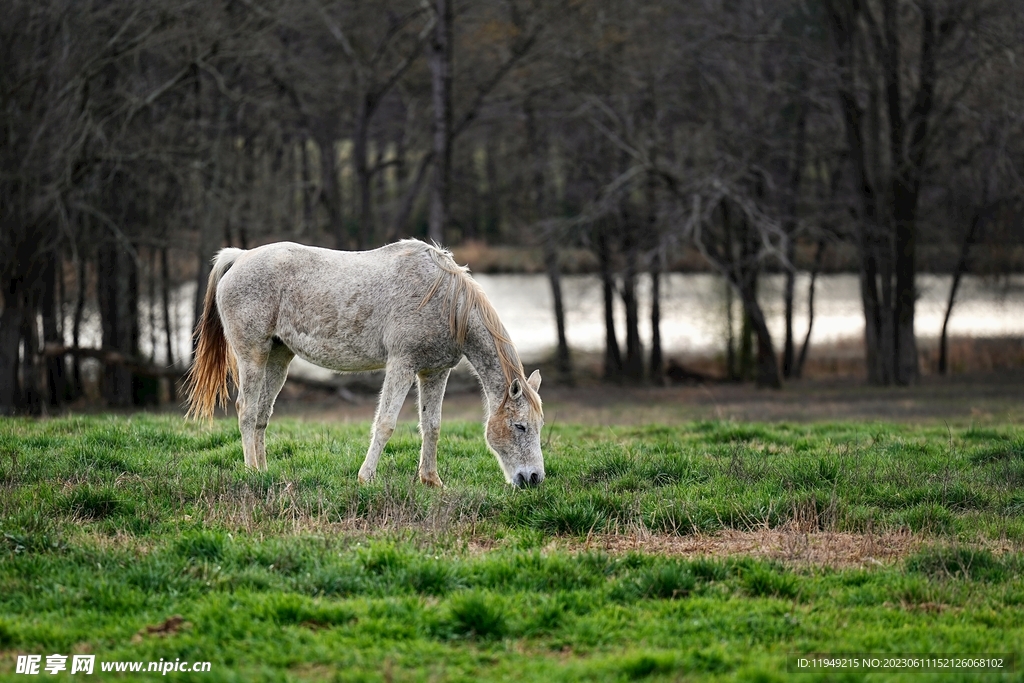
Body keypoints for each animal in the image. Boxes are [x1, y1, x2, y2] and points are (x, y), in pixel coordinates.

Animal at [187, 239, 548, 485]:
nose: (533, 478)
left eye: (539, 426)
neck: (445, 299)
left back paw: (264, 472)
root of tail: (240, 256)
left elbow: (432, 425)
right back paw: (251, 472)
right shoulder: (402, 366)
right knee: (246, 411)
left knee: (262, 414)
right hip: (252, 354)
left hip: (278, 357)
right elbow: (385, 424)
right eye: (520, 426)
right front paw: (366, 478)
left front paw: (431, 481)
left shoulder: (434, 372)